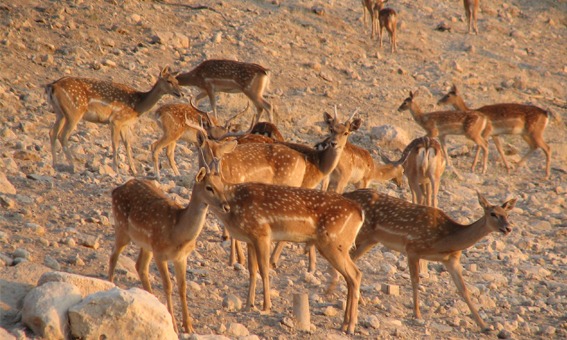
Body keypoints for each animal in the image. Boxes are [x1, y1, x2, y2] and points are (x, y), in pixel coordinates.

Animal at [48, 66, 184, 174]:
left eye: (177, 81)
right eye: (168, 81)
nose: (180, 94)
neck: (137, 106)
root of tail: (53, 86)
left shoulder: (125, 124)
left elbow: (128, 144)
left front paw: (134, 171)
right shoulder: (116, 120)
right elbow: (115, 143)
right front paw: (116, 169)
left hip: (60, 113)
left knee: (52, 133)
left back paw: (55, 164)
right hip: (74, 112)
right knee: (63, 135)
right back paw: (74, 166)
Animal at [107, 161, 232, 334]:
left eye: (222, 185)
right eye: (209, 187)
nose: (227, 207)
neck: (177, 232)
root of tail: (115, 190)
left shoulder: (181, 258)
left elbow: (182, 287)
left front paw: (189, 326)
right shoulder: (160, 254)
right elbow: (168, 286)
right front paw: (174, 324)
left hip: (147, 244)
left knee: (140, 266)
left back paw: (151, 300)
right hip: (122, 227)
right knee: (113, 255)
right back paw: (110, 285)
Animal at [328, 191, 520, 332]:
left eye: (507, 214)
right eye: (493, 213)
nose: (508, 228)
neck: (446, 239)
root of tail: (345, 194)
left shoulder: (452, 260)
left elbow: (464, 290)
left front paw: (484, 326)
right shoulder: (413, 248)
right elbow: (415, 281)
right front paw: (417, 314)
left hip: (371, 240)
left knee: (352, 265)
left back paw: (356, 301)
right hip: (360, 234)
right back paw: (333, 293)